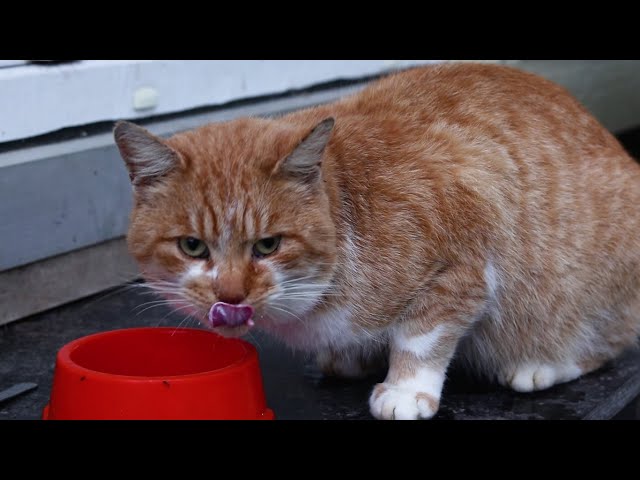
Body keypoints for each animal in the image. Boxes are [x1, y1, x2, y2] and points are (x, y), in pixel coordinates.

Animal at [114, 63, 640, 420]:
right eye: (192, 246)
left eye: (268, 245)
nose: (230, 295)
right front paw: (355, 359)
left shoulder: (463, 265)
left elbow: (421, 335)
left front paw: (405, 391)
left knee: (608, 343)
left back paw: (543, 365)